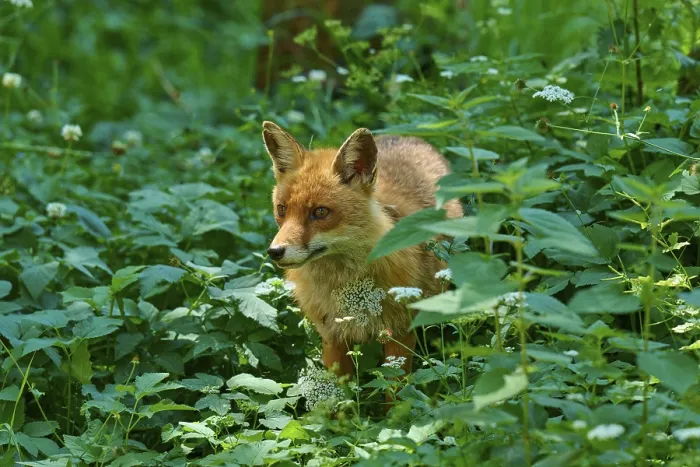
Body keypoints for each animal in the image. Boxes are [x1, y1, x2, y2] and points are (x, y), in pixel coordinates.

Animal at [262, 121, 463, 379]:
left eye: (320, 212)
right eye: (282, 209)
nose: (275, 251)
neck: (346, 282)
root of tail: (405, 136)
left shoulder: (400, 333)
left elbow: (397, 387)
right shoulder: (332, 337)